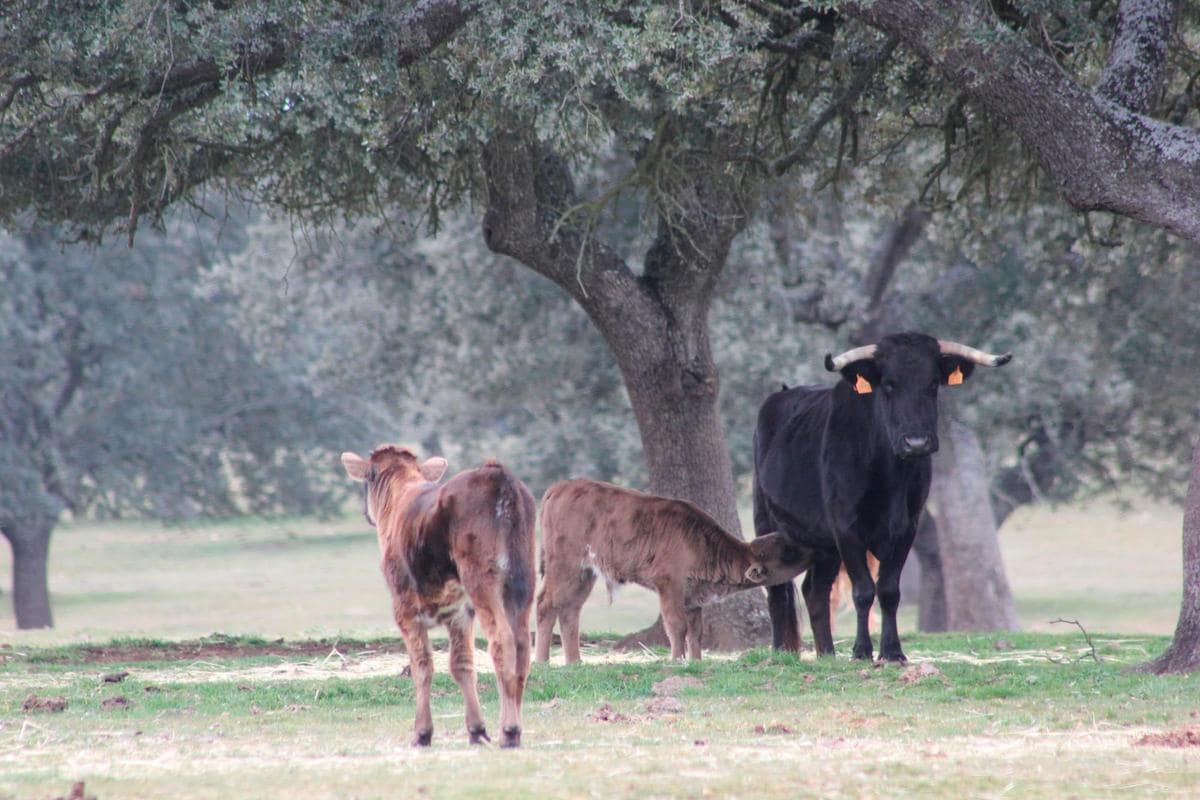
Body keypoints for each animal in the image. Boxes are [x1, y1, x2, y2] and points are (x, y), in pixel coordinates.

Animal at [345, 448, 537, 748]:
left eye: (368, 478)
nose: (366, 513)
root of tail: (499, 476)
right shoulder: (459, 611)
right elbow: (461, 664)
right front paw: (476, 730)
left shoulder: (405, 609)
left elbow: (422, 666)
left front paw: (422, 733)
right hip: (523, 578)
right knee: (522, 643)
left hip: (482, 577)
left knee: (501, 640)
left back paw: (509, 730)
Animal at [540, 482, 811, 662]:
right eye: (788, 553)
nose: (810, 548)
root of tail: (561, 487)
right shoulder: (669, 586)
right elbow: (677, 626)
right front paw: (677, 660)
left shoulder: (693, 598)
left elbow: (696, 632)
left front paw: (696, 660)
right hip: (565, 566)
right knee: (546, 604)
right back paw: (542, 661)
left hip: (585, 574)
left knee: (570, 610)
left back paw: (575, 662)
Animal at [753, 331, 1008, 662]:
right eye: (888, 385)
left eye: (932, 384)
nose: (916, 443)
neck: (890, 476)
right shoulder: (846, 528)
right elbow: (864, 590)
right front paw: (862, 650)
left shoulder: (906, 528)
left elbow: (888, 590)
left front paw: (892, 651)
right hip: (767, 521)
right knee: (777, 589)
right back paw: (780, 652)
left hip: (824, 544)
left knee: (814, 590)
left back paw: (827, 654)